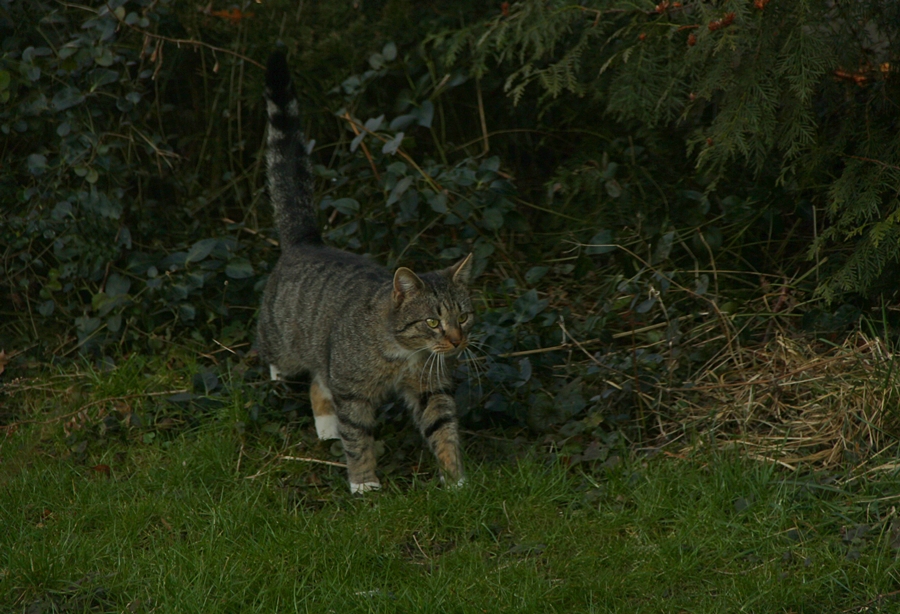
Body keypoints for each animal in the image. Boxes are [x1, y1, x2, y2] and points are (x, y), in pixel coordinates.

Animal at [256, 51, 474, 496]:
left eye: (462, 317)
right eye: (432, 321)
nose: (458, 341)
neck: (404, 354)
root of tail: (307, 240)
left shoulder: (431, 389)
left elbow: (444, 430)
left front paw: (456, 481)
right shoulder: (353, 393)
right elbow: (358, 438)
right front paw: (363, 483)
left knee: (318, 382)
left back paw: (326, 426)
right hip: (282, 341)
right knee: (278, 358)